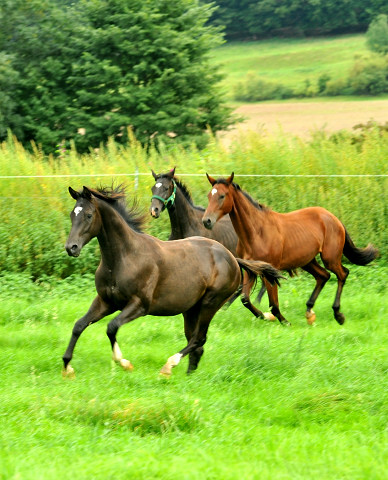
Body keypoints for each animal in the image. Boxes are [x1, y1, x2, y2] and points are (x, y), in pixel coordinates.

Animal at [62, 186, 284, 376]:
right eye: (73, 214)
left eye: (88, 215)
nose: (71, 247)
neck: (124, 257)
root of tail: (232, 257)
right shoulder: (106, 302)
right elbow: (79, 325)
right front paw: (67, 367)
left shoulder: (139, 305)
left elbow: (111, 327)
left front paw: (124, 363)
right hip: (191, 309)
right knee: (196, 343)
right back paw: (188, 375)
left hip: (210, 303)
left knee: (198, 339)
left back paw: (169, 366)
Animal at [202, 174, 378, 328]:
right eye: (209, 196)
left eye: (222, 196)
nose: (206, 221)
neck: (257, 232)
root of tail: (334, 218)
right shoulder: (251, 269)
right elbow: (245, 299)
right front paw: (264, 316)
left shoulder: (269, 270)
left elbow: (273, 304)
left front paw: (283, 321)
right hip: (307, 261)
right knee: (323, 276)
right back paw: (309, 312)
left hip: (330, 258)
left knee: (342, 274)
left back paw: (338, 314)